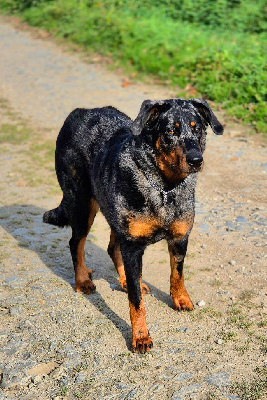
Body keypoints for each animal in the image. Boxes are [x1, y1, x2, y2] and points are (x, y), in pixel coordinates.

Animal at [43, 99, 224, 354]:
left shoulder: (180, 238)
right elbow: (136, 302)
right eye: (170, 131)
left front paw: (180, 299)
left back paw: (125, 280)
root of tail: (79, 112)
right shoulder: (133, 246)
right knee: (75, 243)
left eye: (197, 128)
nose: (196, 159)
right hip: (81, 204)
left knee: (112, 247)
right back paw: (83, 280)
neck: (165, 188)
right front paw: (140, 337)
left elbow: (177, 274)